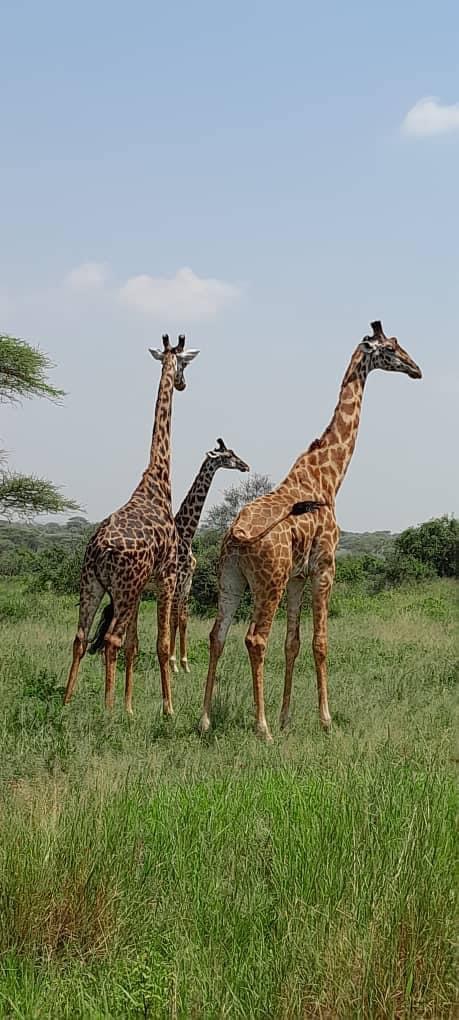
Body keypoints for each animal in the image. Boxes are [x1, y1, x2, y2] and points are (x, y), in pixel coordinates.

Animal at [63, 334, 199, 716]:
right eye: (184, 364)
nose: (182, 384)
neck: (157, 482)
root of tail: (100, 550)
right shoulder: (166, 578)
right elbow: (160, 643)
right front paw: (167, 708)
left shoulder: (141, 589)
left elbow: (134, 645)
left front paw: (130, 707)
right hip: (121, 587)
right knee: (109, 638)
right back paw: (106, 710)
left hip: (91, 583)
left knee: (81, 638)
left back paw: (67, 703)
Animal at [169, 438, 250, 675]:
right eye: (228, 455)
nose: (245, 466)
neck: (185, 534)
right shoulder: (177, 580)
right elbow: (173, 619)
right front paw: (173, 662)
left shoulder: (187, 582)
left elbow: (182, 619)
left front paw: (184, 663)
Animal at [199, 321, 422, 741]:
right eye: (390, 349)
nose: (416, 369)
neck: (329, 478)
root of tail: (235, 536)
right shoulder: (324, 568)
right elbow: (320, 642)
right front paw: (324, 719)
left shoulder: (297, 577)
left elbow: (293, 642)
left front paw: (288, 718)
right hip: (267, 582)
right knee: (254, 639)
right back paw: (261, 727)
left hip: (230, 579)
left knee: (217, 635)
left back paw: (204, 720)